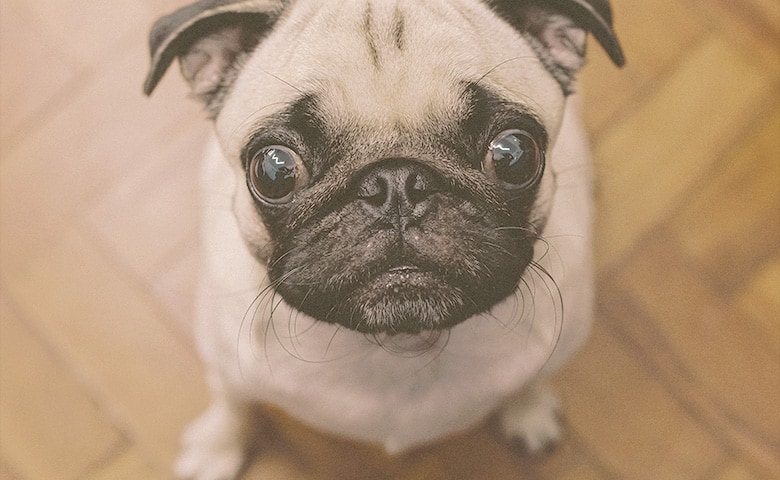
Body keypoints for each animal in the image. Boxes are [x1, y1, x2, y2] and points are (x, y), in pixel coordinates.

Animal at [145, 1, 620, 478]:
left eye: (514, 154)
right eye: (274, 169)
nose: (396, 184)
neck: (399, 340)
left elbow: (533, 377)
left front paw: (529, 409)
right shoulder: (224, 365)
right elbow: (232, 401)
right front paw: (216, 447)